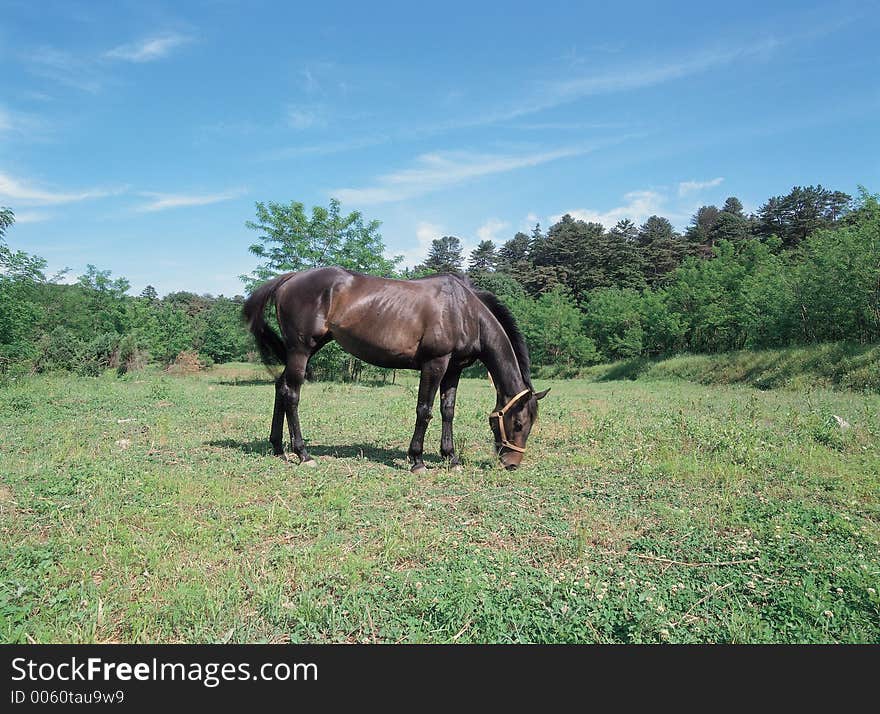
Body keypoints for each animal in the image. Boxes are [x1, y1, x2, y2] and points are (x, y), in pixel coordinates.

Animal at [241, 264, 552, 470]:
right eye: (519, 423)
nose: (512, 463)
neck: (464, 310)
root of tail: (291, 278)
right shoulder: (434, 364)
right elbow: (424, 410)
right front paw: (417, 460)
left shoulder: (454, 369)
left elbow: (447, 411)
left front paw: (450, 458)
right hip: (301, 350)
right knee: (292, 394)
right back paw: (303, 453)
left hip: (304, 350)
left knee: (281, 387)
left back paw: (278, 447)